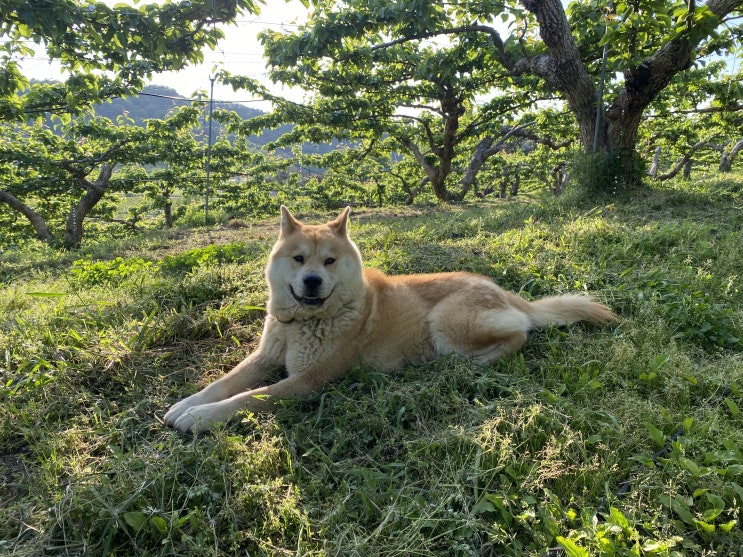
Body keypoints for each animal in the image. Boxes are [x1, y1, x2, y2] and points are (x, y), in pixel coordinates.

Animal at [164, 206, 617, 433]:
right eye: (298, 259)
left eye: (329, 261)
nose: (312, 281)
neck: (304, 324)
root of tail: (503, 290)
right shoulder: (263, 358)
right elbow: (225, 383)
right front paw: (187, 404)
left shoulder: (308, 381)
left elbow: (249, 397)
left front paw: (200, 419)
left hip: (446, 323)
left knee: (520, 333)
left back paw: (474, 362)